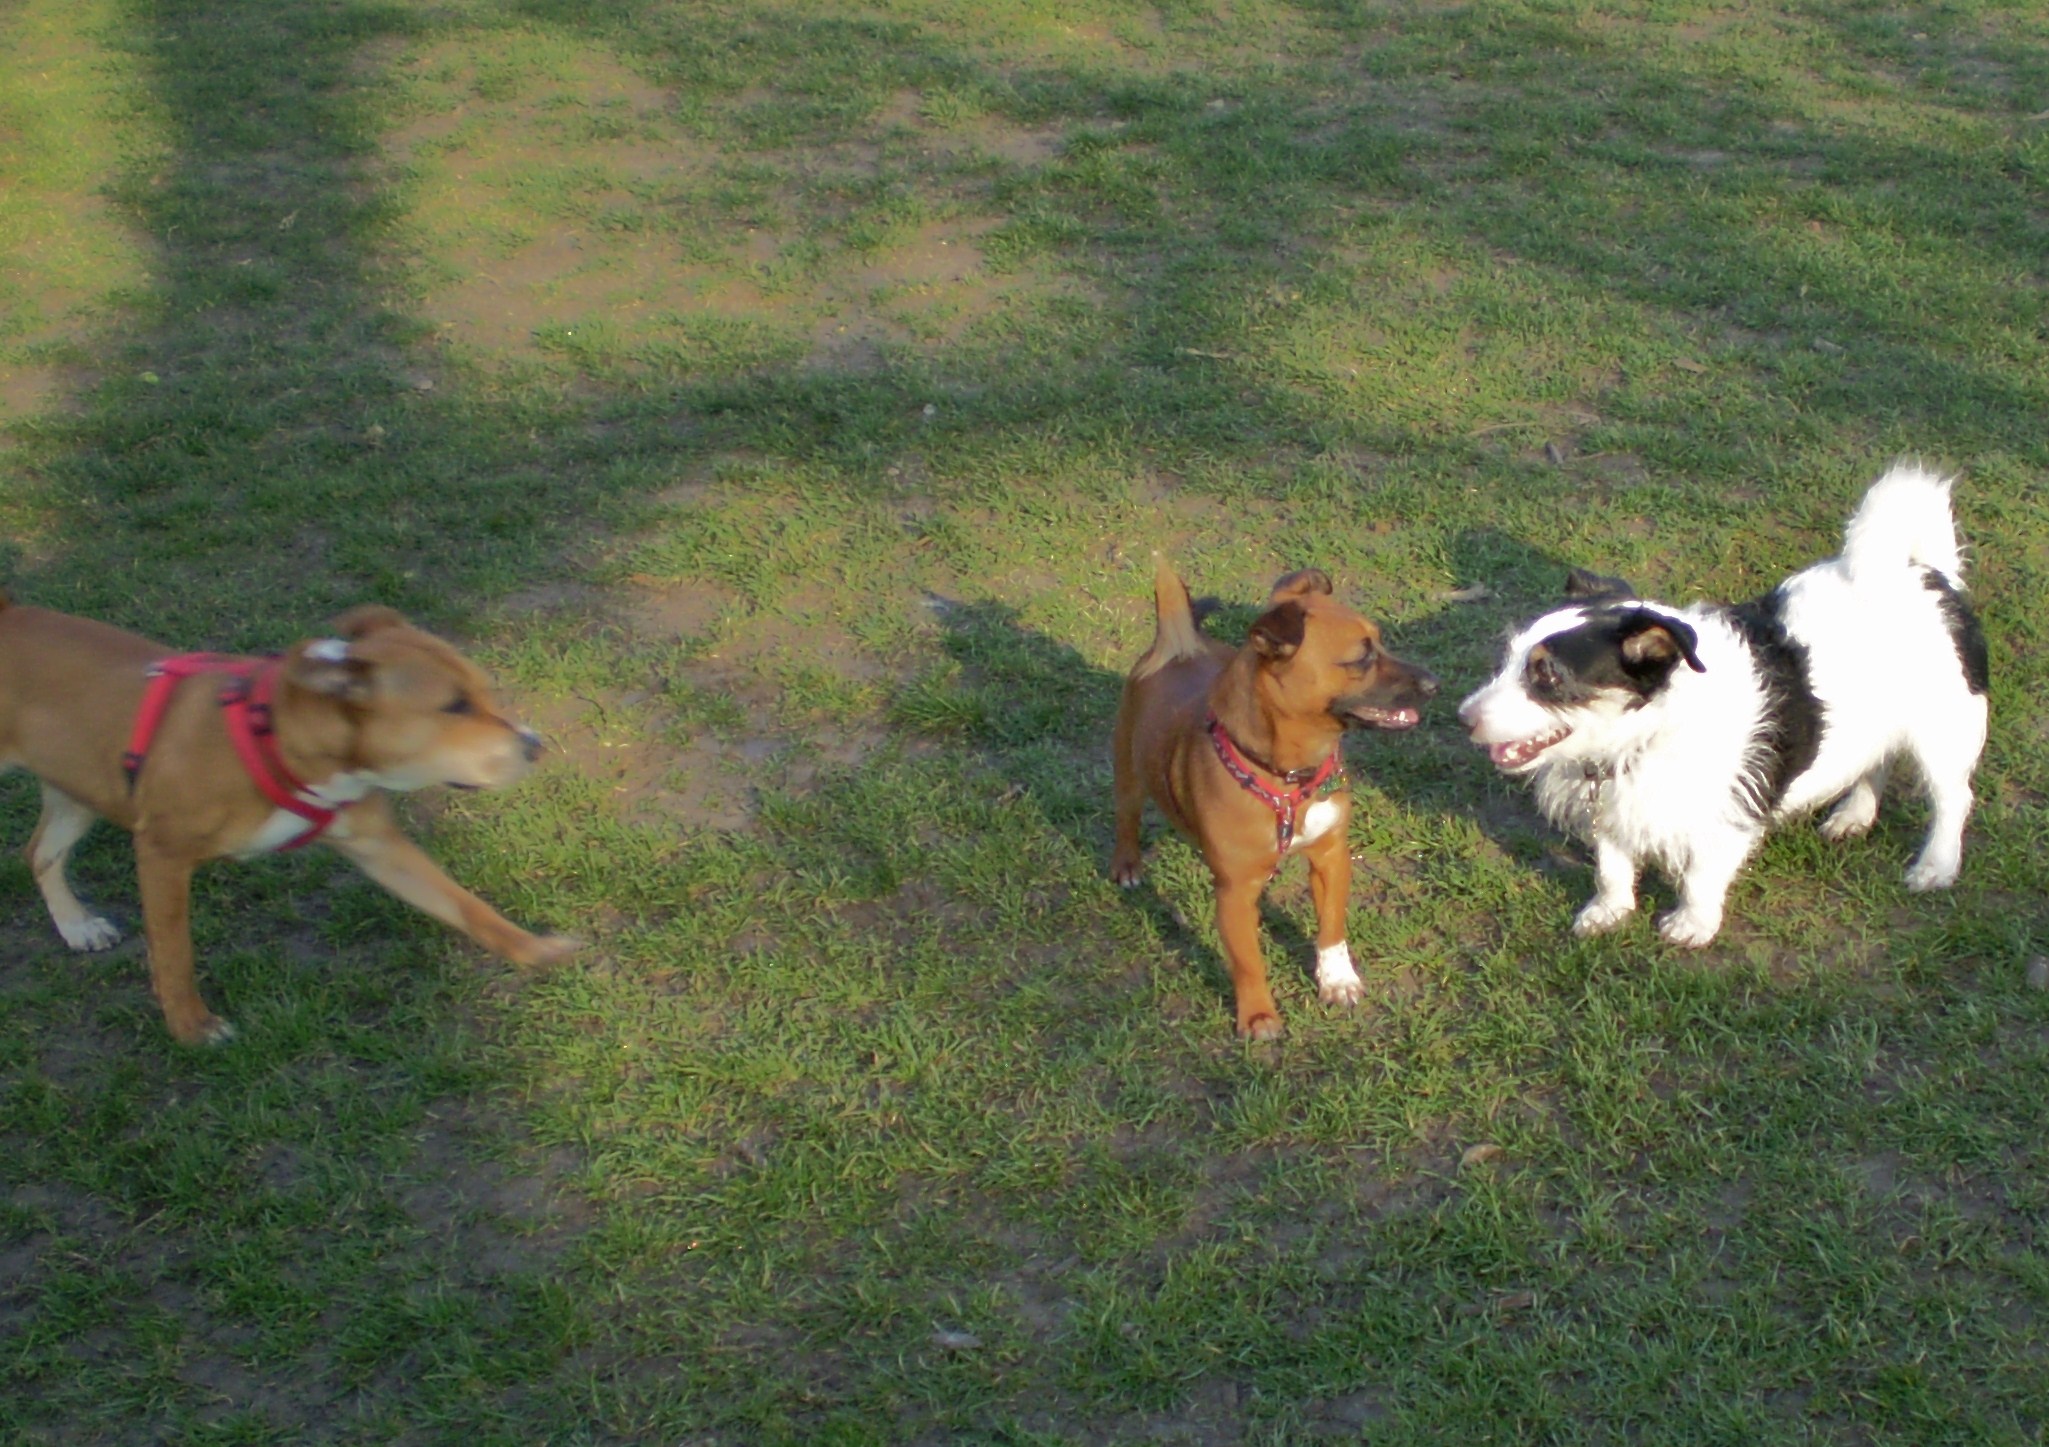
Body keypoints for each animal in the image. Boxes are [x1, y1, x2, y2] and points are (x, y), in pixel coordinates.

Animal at [0, 590, 577, 1041]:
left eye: (482, 689)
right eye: (453, 706)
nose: (535, 745)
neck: (277, 736)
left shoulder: (381, 846)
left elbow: (466, 906)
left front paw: (536, 950)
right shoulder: (162, 854)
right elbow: (173, 951)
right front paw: (191, 1027)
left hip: (77, 788)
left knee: (40, 851)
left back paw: (76, 925)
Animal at [1114, 553, 1434, 1037]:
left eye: (1381, 642)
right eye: (1362, 656)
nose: (1433, 682)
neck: (1290, 779)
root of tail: (1176, 647)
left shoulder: (1331, 857)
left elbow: (1332, 929)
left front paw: (1336, 981)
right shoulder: (1234, 894)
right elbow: (1248, 962)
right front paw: (1258, 1015)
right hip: (1130, 777)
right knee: (1126, 821)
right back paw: (1127, 866)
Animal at [1450, 457, 1991, 942]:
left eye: (1548, 675)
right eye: (1508, 658)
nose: (1463, 719)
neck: (1651, 731)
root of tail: (1927, 571)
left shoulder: (1727, 816)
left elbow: (1700, 876)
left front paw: (1692, 925)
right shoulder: (1609, 810)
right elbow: (1611, 867)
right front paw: (1610, 912)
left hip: (1945, 733)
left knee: (1952, 799)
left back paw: (1936, 865)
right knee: (1871, 763)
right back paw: (1853, 814)